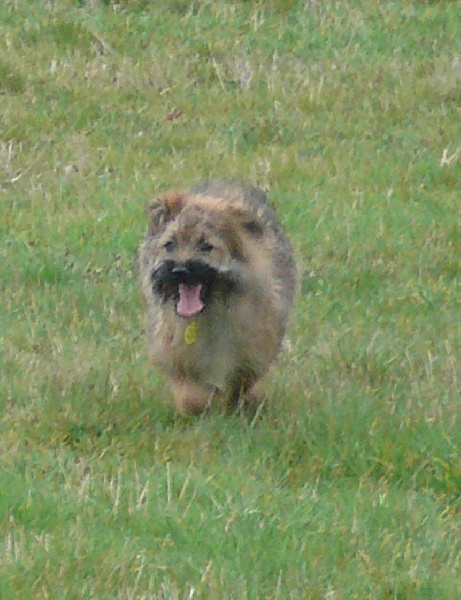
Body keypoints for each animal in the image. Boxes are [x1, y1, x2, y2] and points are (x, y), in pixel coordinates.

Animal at [137, 180, 294, 414]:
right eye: (170, 244)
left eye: (206, 246)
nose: (179, 270)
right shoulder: (175, 351)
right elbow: (191, 395)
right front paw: (207, 403)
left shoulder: (254, 347)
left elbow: (242, 382)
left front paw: (240, 403)